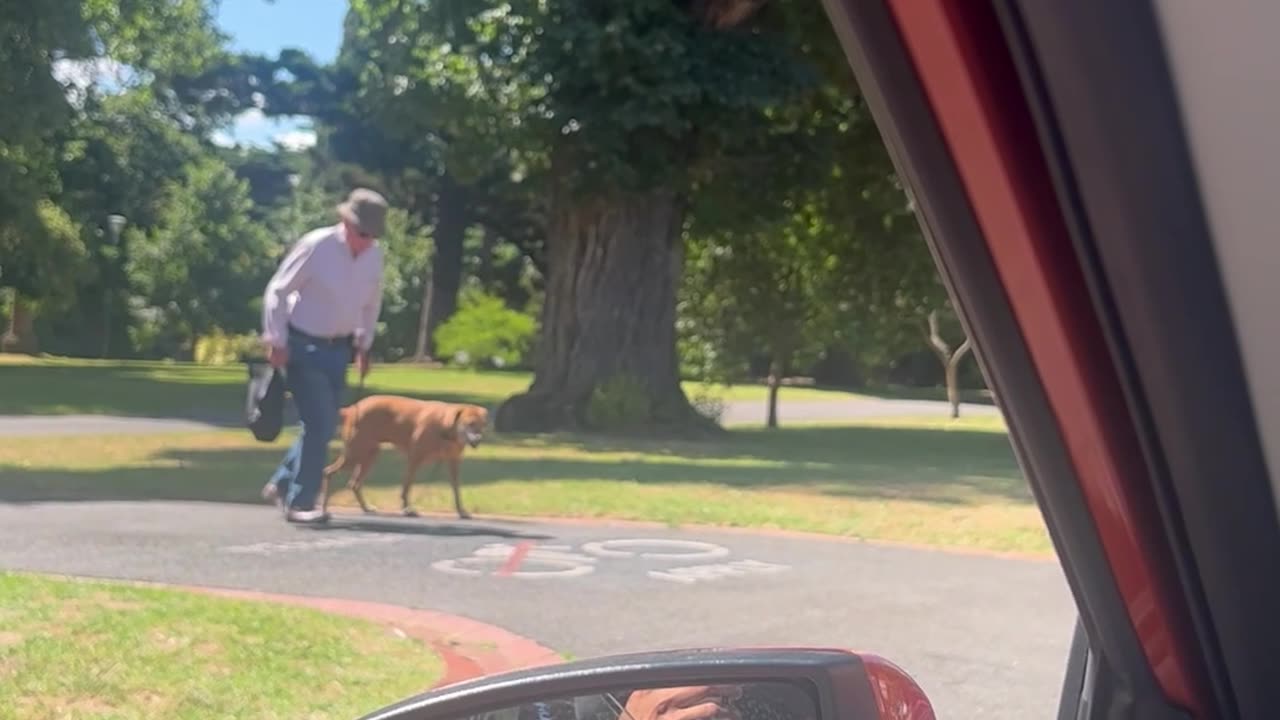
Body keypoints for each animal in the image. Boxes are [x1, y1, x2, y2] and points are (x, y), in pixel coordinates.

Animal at [320, 392, 488, 515]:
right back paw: (323, 508)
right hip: (354, 453)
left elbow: (456, 489)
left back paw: (365, 508)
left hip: (370, 454)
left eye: (482, 425)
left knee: (354, 484)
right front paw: (407, 508)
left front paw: (461, 510)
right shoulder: (415, 459)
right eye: (470, 424)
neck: (447, 428)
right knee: (328, 471)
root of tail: (351, 409)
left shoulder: (453, 463)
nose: (479, 439)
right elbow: (407, 486)